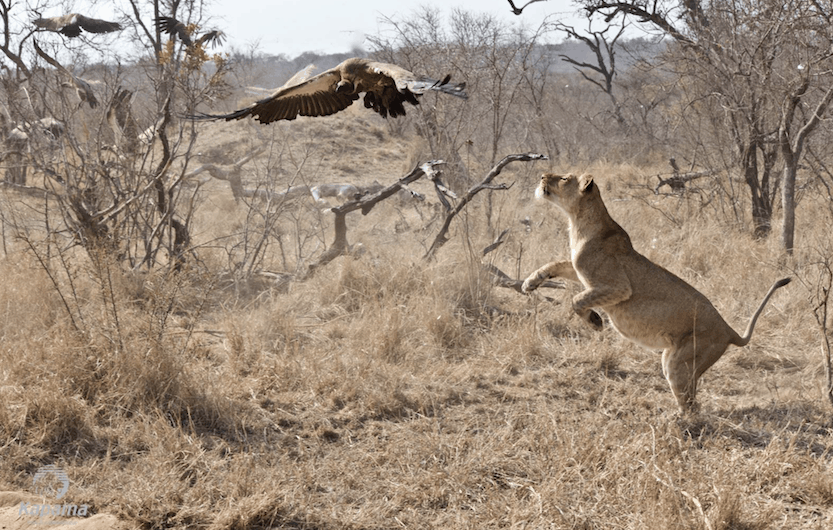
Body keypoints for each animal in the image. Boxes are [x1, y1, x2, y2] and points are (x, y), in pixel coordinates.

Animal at [522, 173, 791, 412]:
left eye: (564, 178)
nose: (543, 175)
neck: (578, 221)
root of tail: (729, 331)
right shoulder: (580, 271)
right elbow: (554, 264)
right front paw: (529, 283)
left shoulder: (618, 287)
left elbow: (577, 299)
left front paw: (595, 321)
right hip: (673, 359)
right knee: (691, 401)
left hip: (680, 362)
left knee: (692, 406)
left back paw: (676, 424)